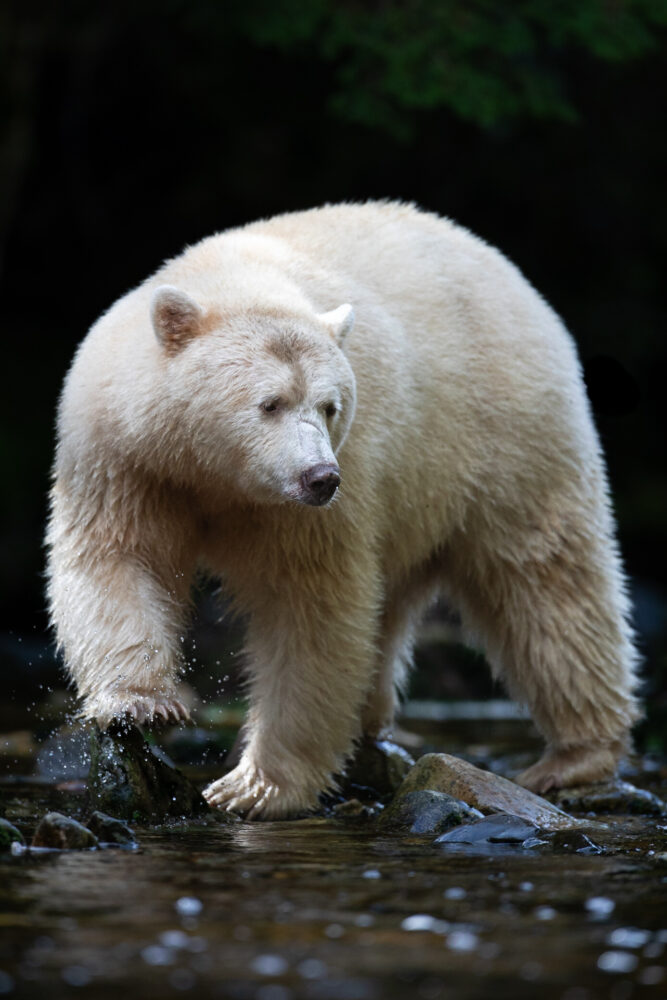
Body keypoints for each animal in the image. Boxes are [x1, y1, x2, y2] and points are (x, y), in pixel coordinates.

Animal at [46, 201, 640, 819]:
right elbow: (119, 559)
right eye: (270, 403)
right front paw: (143, 704)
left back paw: (574, 756)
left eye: (329, 406)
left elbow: (309, 608)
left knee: (547, 581)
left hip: (504, 432)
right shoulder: (127, 460)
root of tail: (509, 273)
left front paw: (254, 786)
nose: (320, 477)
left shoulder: (322, 498)